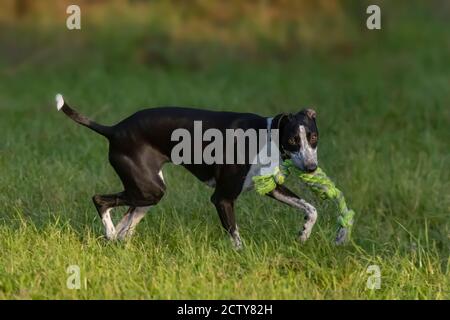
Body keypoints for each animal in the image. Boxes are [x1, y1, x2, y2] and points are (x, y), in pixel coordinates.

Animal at [57, 94, 320, 249]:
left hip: (146, 194)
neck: (265, 136)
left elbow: (311, 209)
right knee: (100, 201)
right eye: (293, 140)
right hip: (149, 191)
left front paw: (304, 234)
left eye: (313, 137)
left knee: (125, 226)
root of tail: (114, 129)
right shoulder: (222, 199)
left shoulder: (271, 188)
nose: (311, 168)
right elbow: (236, 238)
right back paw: (109, 232)